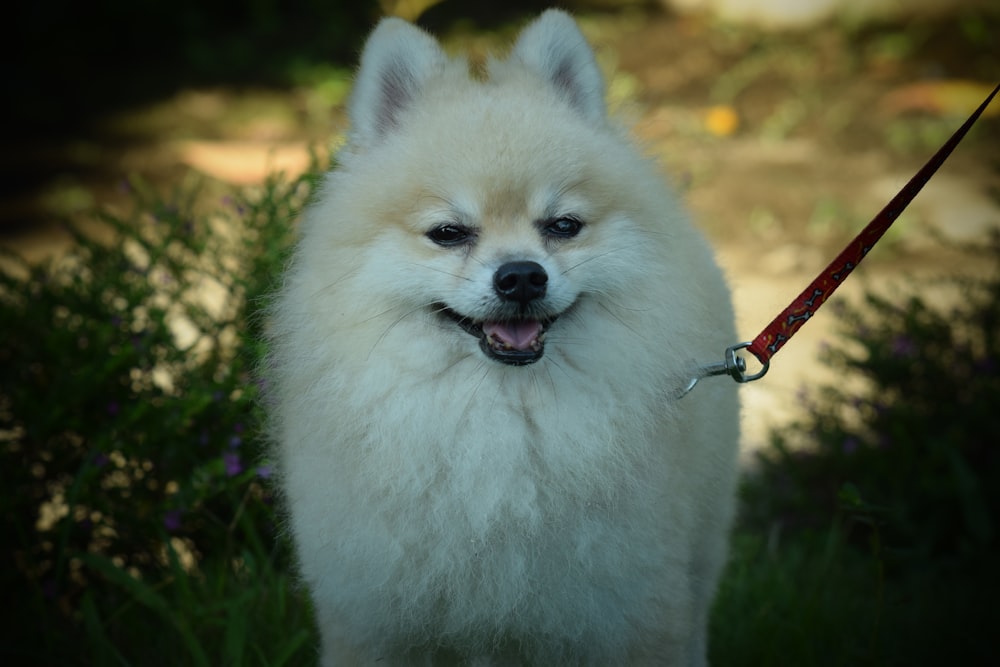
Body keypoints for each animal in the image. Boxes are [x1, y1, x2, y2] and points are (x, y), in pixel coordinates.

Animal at [270, 10, 740, 667]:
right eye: (448, 232)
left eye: (563, 226)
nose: (521, 275)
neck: (501, 419)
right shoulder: (372, 618)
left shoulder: (633, 611)